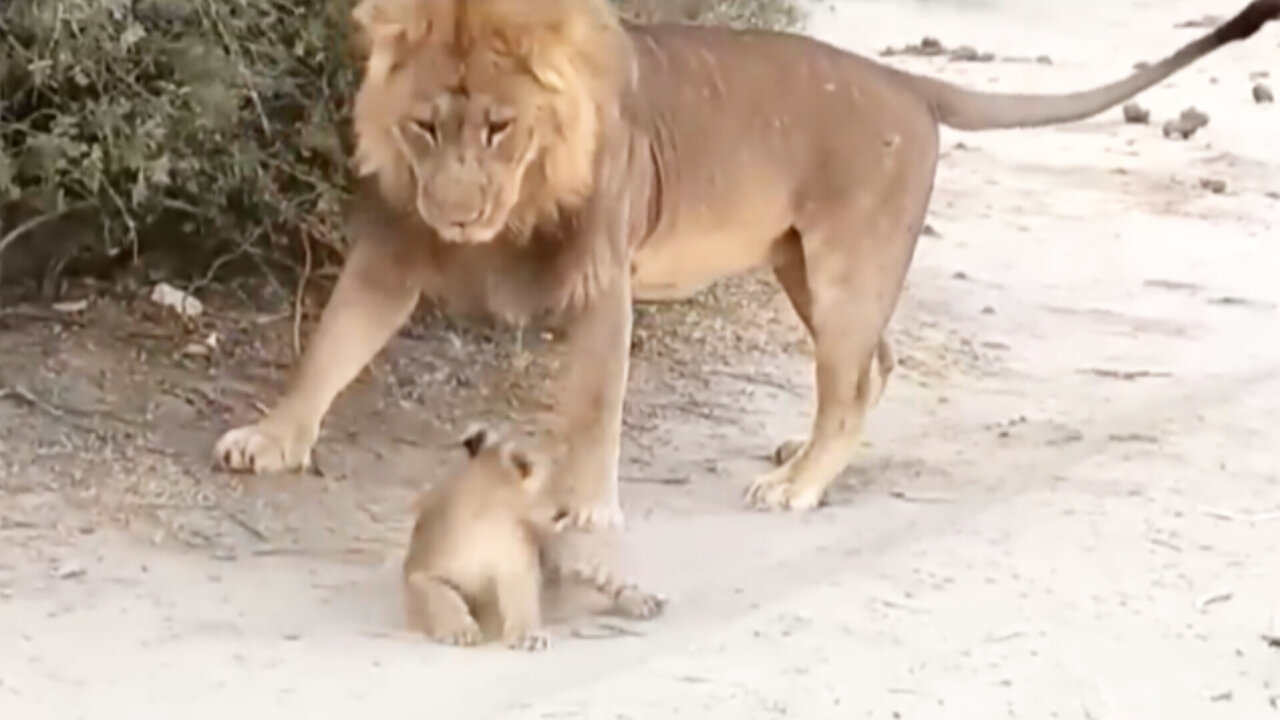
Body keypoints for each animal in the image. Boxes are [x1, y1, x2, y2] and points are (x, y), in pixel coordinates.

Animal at [215, 0, 1280, 527]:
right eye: (428, 128)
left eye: (501, 128)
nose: (460, 209)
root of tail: (908, 82)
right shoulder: (394, 251)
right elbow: (330, 346)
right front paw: (270, 439)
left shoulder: (603, 283)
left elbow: (594, 405)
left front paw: (583, 508)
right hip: (804, 269)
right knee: (874, 365)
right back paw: (801, 457)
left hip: (845, 270)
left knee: (849, 383)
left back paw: (800, 484)